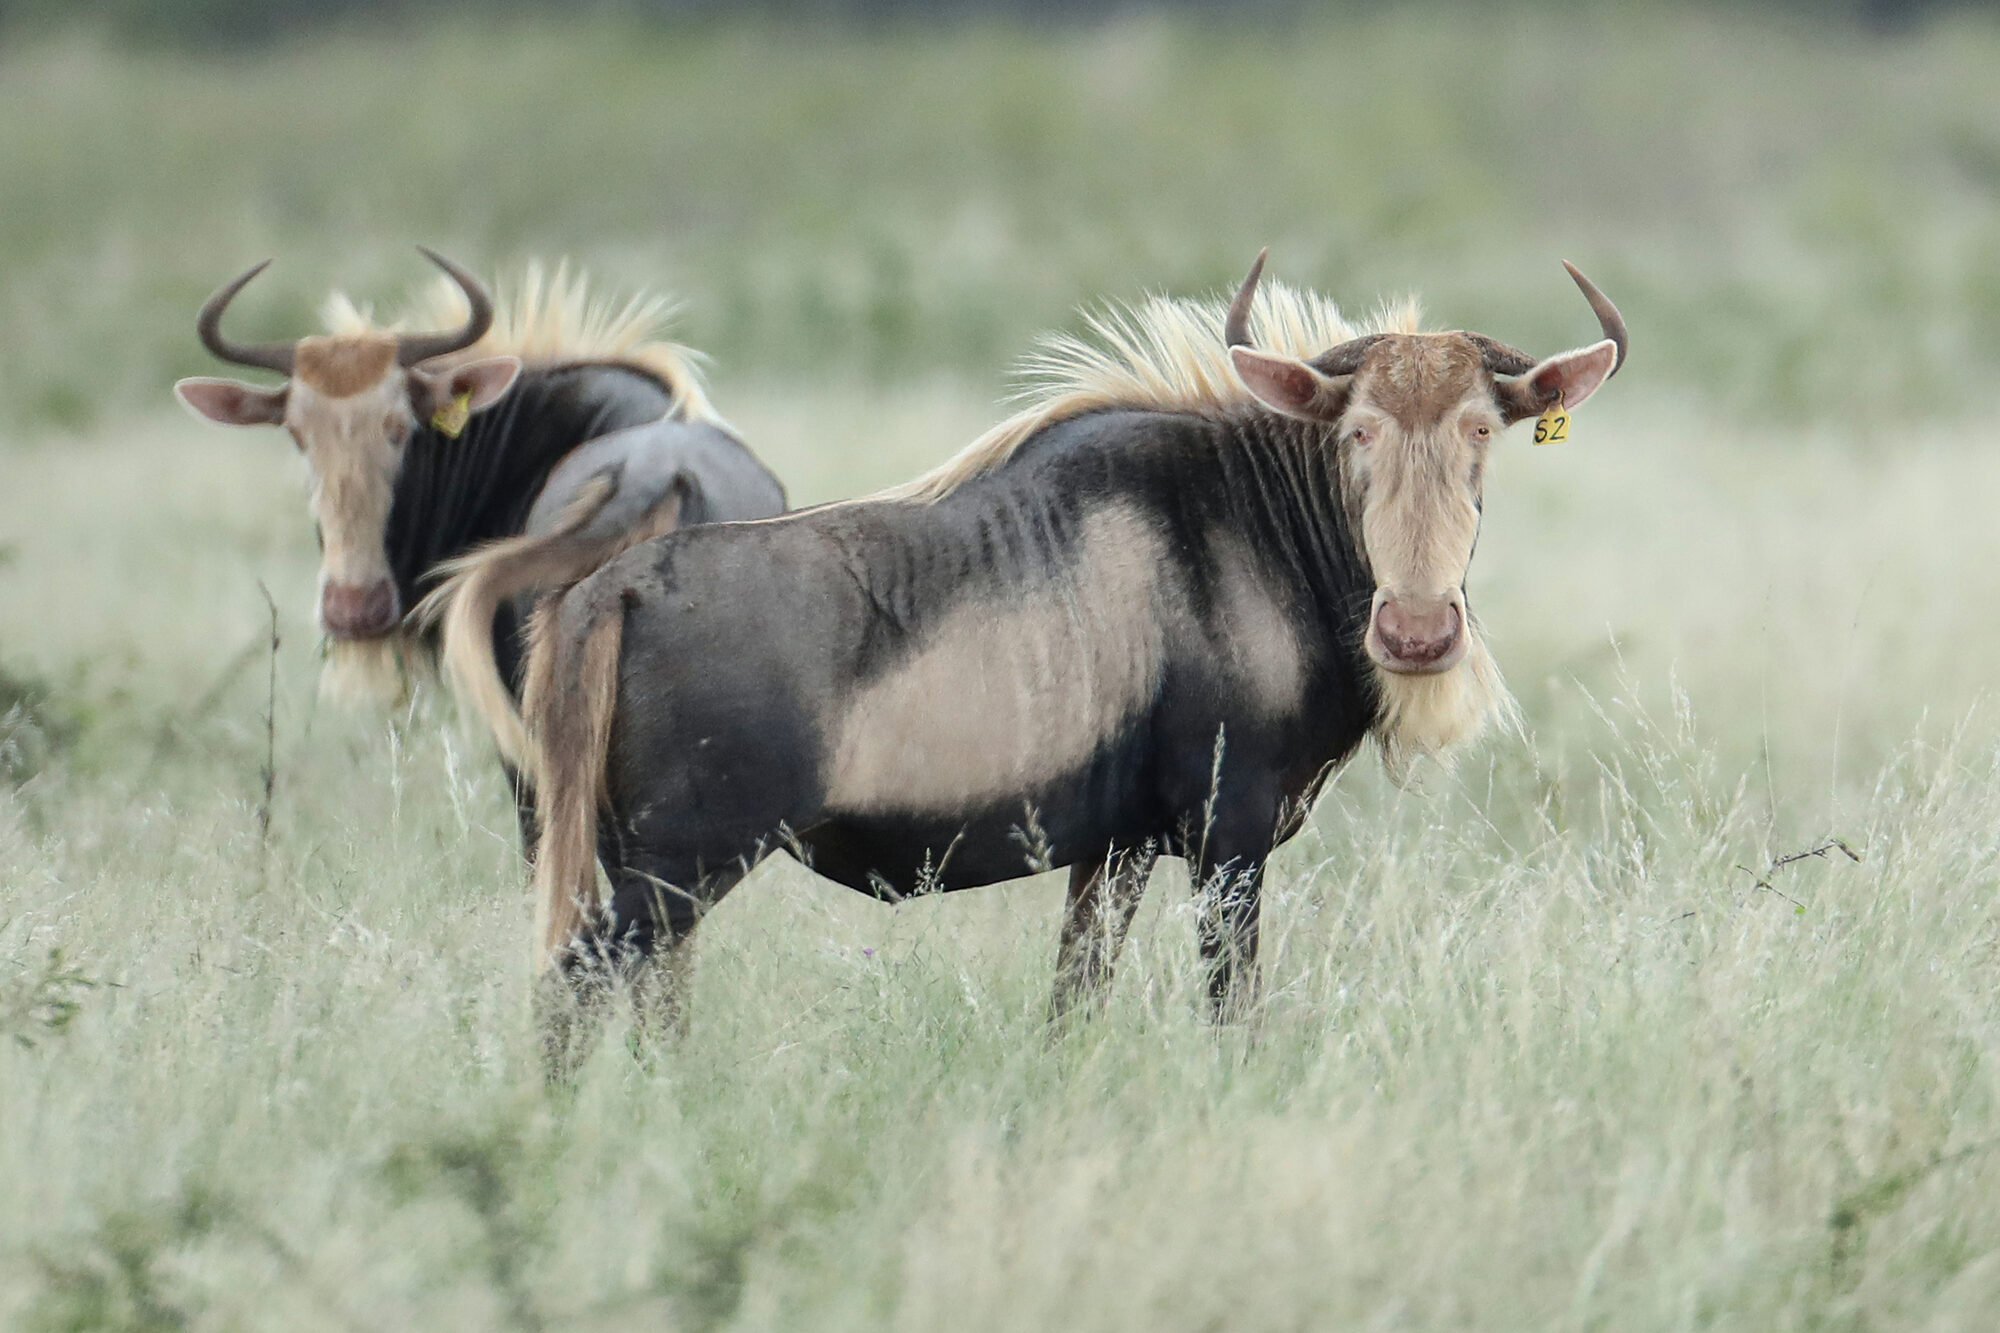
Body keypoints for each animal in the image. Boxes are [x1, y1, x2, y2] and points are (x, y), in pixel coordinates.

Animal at [434, 250, 1626, 1062]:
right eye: (1357, 431)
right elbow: (1230, 1015)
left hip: (639, 870)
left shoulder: (1116, 849)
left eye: (1481, 430)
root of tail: (613, 586)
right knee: (570, 987)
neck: (1251, 519)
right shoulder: (1229, 839)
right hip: (673, 873)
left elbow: (1070, 1005)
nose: (1416, 632)